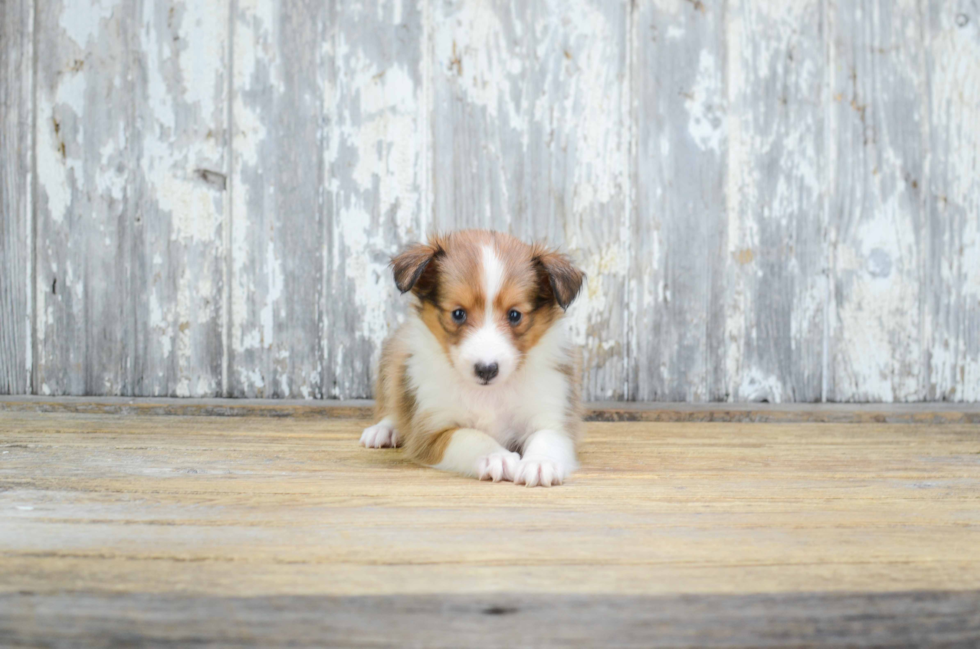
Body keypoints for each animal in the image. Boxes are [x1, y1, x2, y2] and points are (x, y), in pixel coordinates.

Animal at [358, 229, 580, 486]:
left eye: (515, 315)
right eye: (458, 314)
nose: (486, 369)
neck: (488, 394)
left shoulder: (552, 417)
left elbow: (547, 438)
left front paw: (539, 463)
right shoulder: (433, 431)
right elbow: (471, 436)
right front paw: (497, 457)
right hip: (394, 357)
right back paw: (383, 430)